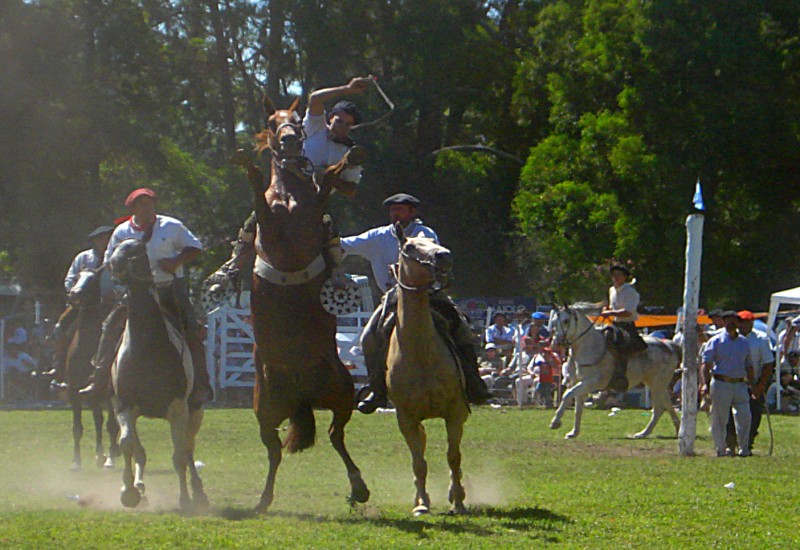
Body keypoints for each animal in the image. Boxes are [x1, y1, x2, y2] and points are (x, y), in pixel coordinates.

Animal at [63, 270, 119, 472]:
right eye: (77, 276)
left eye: (93, 280)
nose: (74, 293)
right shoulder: (73, 391)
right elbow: (77, 428)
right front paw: (75, 461)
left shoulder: (109, 394)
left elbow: (111, 425)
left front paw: (111, 458)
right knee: (97, 419)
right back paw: (99, 455)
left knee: (105, 422)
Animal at [108, 242, 208, 512]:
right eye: (117, 244)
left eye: (136, 249)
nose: (114, 262)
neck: (148, 347)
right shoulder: (124, 406)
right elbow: (128, 444)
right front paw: (128, 492)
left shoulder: (178, 409)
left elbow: (180, 456)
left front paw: (185, 499)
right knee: (140, 450)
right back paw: (140, 487)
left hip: (195, 411)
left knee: (189, 449)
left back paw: (198, 493)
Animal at [239, 97, 370, 516]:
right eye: (271, 121)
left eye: (296, 120)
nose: (290, 140)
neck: (289, 194)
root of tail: (300, 397)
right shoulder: (271, 223)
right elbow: (260, 203)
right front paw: (247, 165)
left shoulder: (311, 213)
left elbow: (327, 182)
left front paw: (345, 160)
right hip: (264, 409)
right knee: (274, 450)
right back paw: (263, 500)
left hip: (343, 392)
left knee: (335, 435)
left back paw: (358, 487)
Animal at [386, 226, 472, 520]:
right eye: (410, 246)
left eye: (433, 241)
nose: (443, 256)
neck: (421, 352)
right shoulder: (406, 418)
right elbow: (419, 462)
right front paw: (422, 503)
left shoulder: (455, 412)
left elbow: (453, 457)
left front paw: (458, 501)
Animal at [552, 306, 680, 440]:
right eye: (554, 321)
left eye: (566, 321)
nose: (557, 343)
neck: (589, 348)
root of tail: (669, 346)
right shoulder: (577, 383)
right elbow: (578, 409)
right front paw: (574, 432)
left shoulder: (590, 383)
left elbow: (566, 395)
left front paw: (555, 422)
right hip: (657, 385)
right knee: (668, 404)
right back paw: (675, 430)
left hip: (657, 385)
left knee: (659, 409)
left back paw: (643, 433)